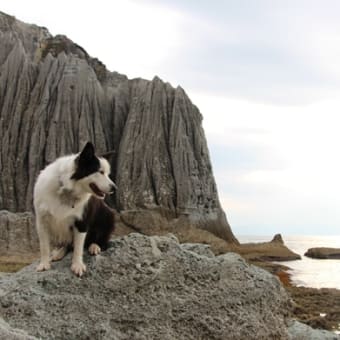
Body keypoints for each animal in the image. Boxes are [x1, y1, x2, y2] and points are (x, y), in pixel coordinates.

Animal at [33, 141, 115, 276]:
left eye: (108, 174)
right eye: (100, 172)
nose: (114, 188)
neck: (66, 190)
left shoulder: (82, 221)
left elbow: (78, 247)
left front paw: (77, 265)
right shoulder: (42, 220)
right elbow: (44, 246)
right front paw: (44, 264)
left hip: (109, 215)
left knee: (101, 240)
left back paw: (94, 246)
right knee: (68, 245)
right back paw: (59, 252)